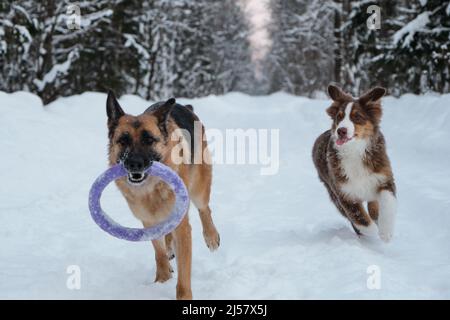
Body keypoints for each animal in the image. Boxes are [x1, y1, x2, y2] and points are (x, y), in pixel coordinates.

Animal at [104, 91, 220, 298]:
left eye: (149, 140)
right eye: (123, 140)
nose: (134, 164)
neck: (151, 188)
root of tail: (185, 107)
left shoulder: (183, 228)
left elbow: (184, 273)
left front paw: (183, 295)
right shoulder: (148, 222)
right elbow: (158, 253)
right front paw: (162, 280)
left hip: (199, 189)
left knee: (204, 209)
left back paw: (211, 236)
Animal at [312, 85, 398, 242]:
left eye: (357, 117)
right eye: (339, 117)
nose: (341, 131)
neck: (355, 150)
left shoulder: (384, 178)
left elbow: (387, 203)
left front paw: (386, 232)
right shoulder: (343, 192)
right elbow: (358, 217)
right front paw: (372, 232)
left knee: (374, 205)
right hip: (331, 190)